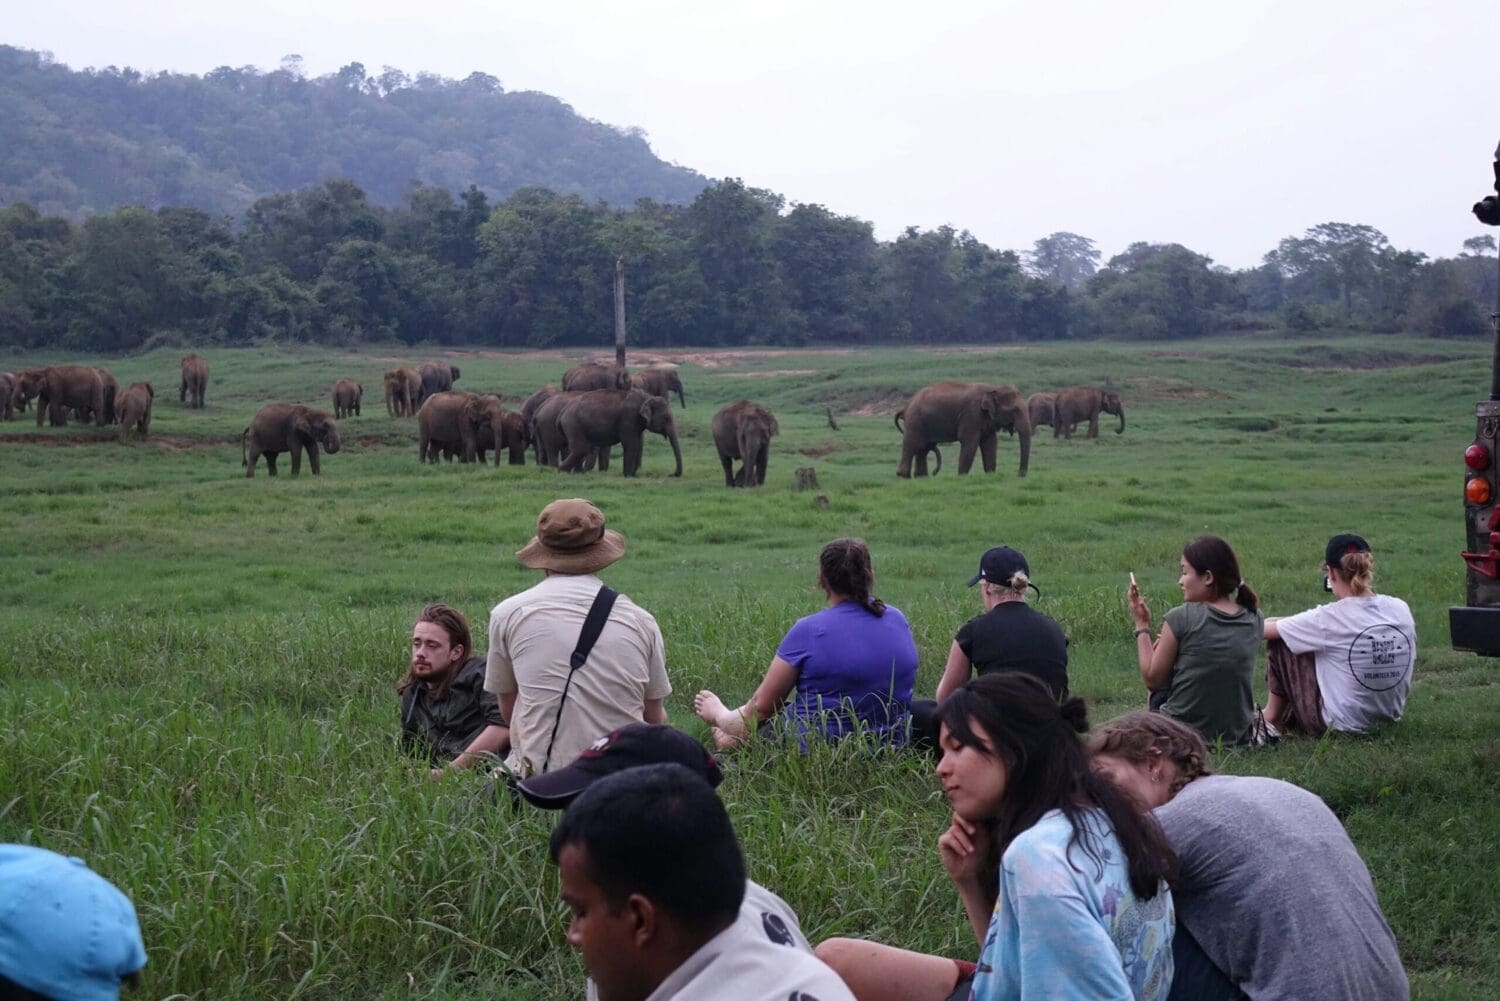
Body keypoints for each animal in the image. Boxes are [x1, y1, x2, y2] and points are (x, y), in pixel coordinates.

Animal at [558, 387, 687, 477]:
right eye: (666, 418)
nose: (672, 474)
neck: (646, 397)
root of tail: (563, 411)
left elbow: (637, 444)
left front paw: (633, 475)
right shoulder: (629, 418)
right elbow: (632, 445)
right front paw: (629, 476)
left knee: (581, 449)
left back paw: (577, 473)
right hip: (574, 425)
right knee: (581, 448)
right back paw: (561, 471)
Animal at [894, 381, 1026, 480]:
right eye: (1015, 410)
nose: (1019, 476)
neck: (993, 388)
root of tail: (905, 407)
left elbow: (990, 443)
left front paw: (990, 476)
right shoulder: (971, 415)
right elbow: (970, 442)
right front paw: (962, 477)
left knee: (923, 448)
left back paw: (922, 477)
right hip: (914, 421)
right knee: (912, 445)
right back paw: (904, 476)